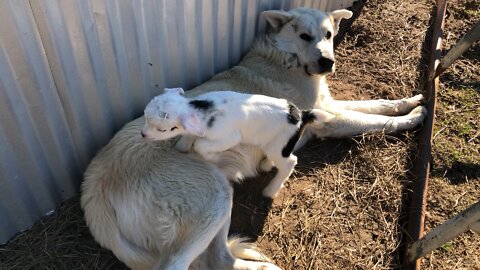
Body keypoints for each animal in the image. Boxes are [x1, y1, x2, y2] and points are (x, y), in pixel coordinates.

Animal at [80, 6, 426, 270]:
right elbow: (375, 120)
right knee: (200, 263)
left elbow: (377, 104)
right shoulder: (326, 119)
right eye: (305, 36)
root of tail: (94, 190)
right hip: (215, 196)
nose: (327, 62)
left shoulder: (329, 107)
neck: (283, 58)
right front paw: (414, 118)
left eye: (328, 35)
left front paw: (412, 100)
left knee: (216, 259)